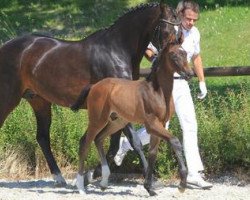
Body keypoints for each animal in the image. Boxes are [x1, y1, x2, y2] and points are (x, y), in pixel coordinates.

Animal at [0, 2, 182, 184]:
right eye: (167, 30)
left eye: (180, 33)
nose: (173, 60)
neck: (117, 51)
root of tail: (6, 46)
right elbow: (134, 141)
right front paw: (150, 178)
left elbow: (114, 145)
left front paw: (92, 174)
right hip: (9, 98)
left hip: (39, 101)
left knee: (43, 137)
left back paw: (59, 178)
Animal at [71, 41, 193, 196]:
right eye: (174, 55)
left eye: (185, 53)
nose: (189, 74)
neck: (157, 92)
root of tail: (94, 86)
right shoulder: (152, 125)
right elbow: (175, 141)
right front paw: (182, 184)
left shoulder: (160, 125)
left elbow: (152, 154)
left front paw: (149, 188)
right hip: (97, 120)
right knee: (85, 143)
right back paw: (81, 187)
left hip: (116, 122)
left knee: (98, 139)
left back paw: (104, 182)